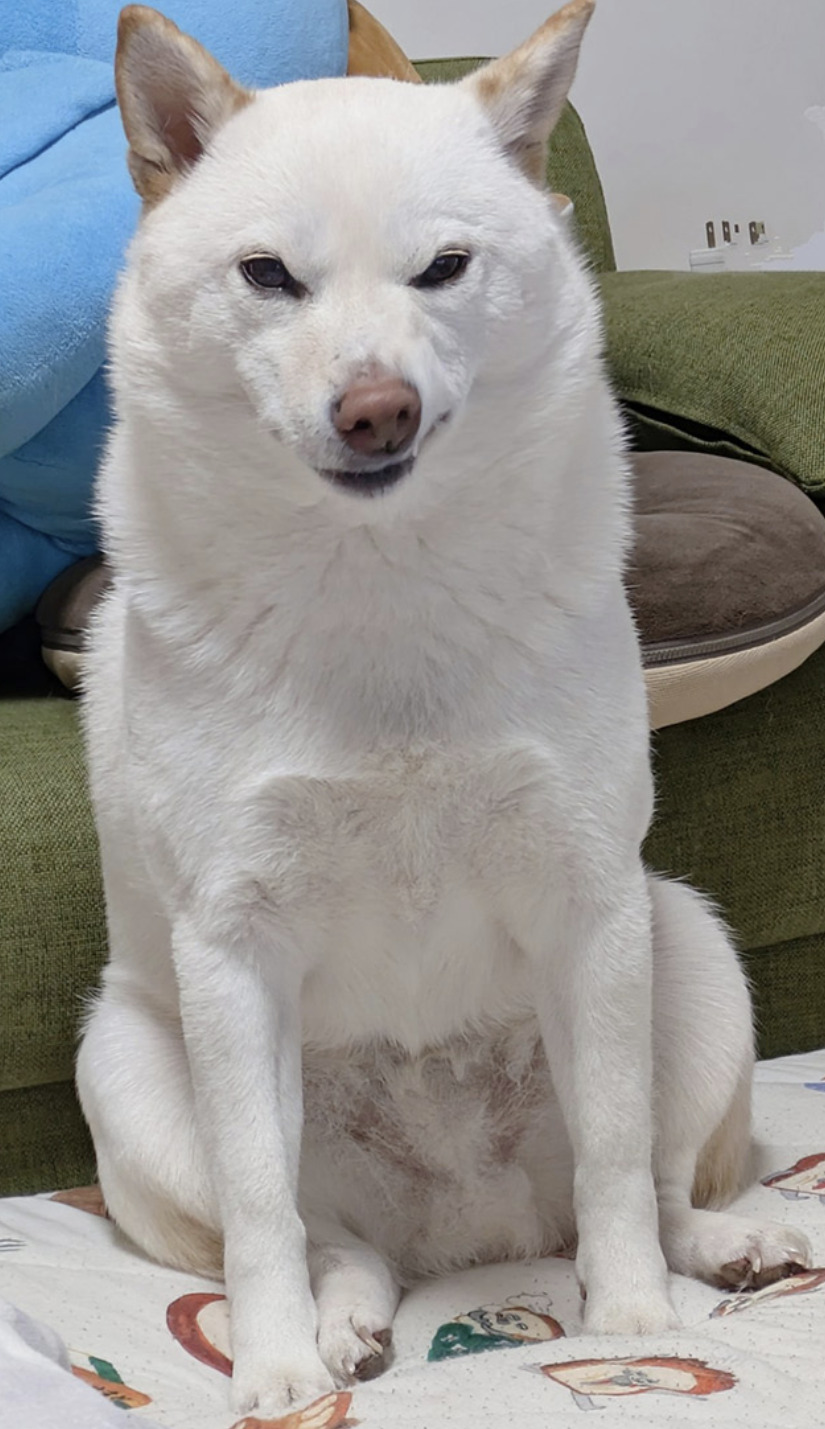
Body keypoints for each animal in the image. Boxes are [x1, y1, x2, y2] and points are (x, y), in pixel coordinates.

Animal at [77, 1, 811, 1415]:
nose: (377, 410)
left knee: (643, 1182)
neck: (382, 585)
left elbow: (619, 1157)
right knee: (330, 1238)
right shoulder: (231, 945)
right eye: (268, 276)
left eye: (445, 268)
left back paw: (719, 1251)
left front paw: (636, 1319)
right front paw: (272, 1367)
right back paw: (346, 1332)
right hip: (126, 1063)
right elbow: (261, 1209)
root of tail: (473, 1232)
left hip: (685, 939)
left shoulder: (591, 898)